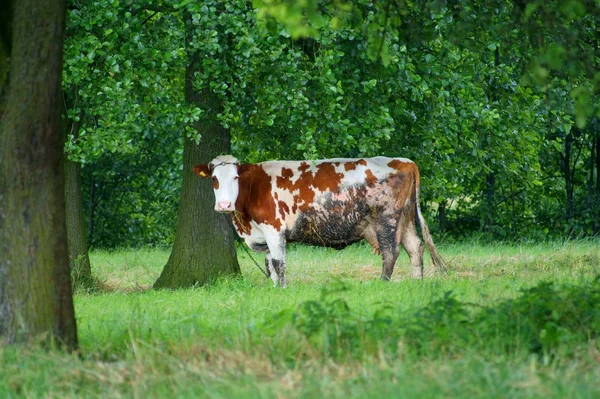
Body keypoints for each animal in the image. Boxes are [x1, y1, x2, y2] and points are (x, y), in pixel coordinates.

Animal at [195, 154, 448, 288]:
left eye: (235, 177)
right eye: (214, 179)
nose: (224, 205)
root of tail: (403, 161)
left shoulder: (274, 229)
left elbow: (279, 262)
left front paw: (282, 289)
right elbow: (269, 264)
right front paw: (274, 287)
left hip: (387, 219)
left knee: (391, 252)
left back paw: (382, 282)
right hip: (404, 219)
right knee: (415, 247)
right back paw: (417, 282)